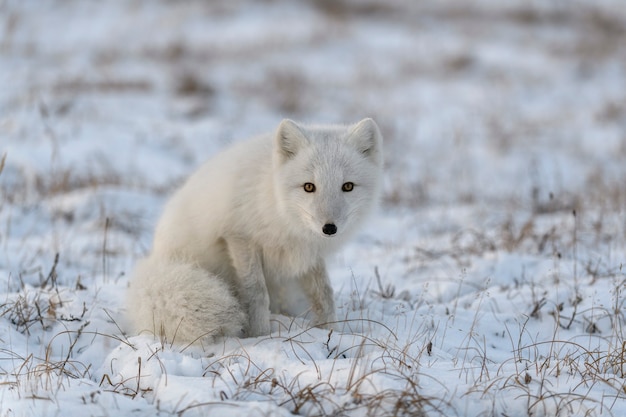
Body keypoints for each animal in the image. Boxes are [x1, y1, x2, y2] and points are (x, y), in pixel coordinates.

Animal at [125, 118, 382, 344]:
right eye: (309, 187)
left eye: (347, 186)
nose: (329, 228)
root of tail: (158, 257)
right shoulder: (239, 238)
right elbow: (255, 293)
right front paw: (259, 336)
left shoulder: (309, 255)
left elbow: (324, 295)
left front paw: (330, 332)